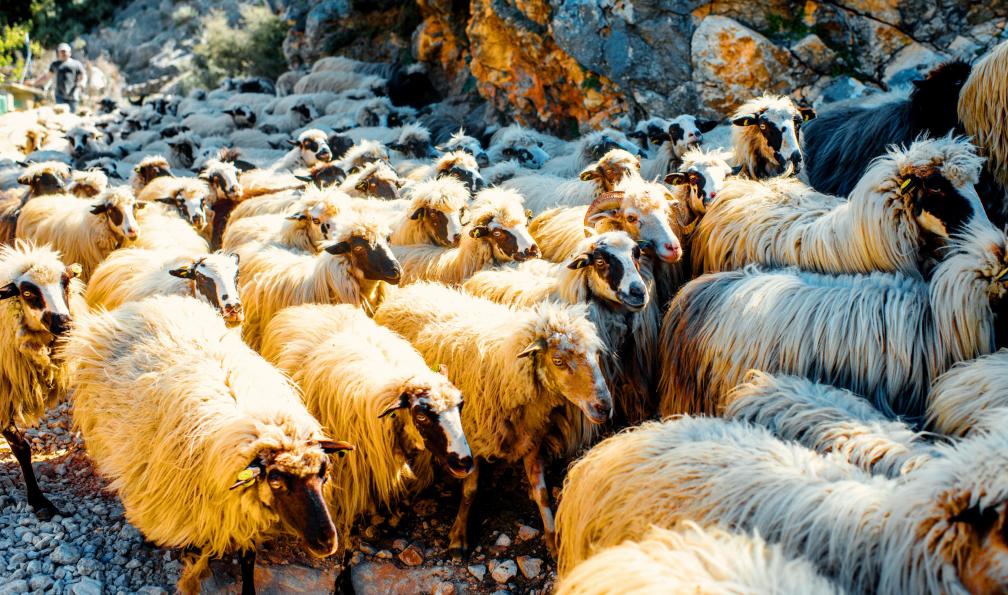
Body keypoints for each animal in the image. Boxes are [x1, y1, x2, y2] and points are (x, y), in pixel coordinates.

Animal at [64, 295, 351, 594]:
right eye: (275, 481)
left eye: (324, 475)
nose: (327, 543)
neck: (260, 424)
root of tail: (141, 305)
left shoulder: (241, 511)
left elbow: (248, 558)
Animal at [373, 282, 611, 555]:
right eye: (558, 360)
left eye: (596, 354)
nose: (604, 407)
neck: (508, 374)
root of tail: (409, 289)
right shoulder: (471, 441)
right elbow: (470, 490)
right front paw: (458, 536)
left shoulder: (531, 440)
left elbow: (541, 492)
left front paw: (552, 536)